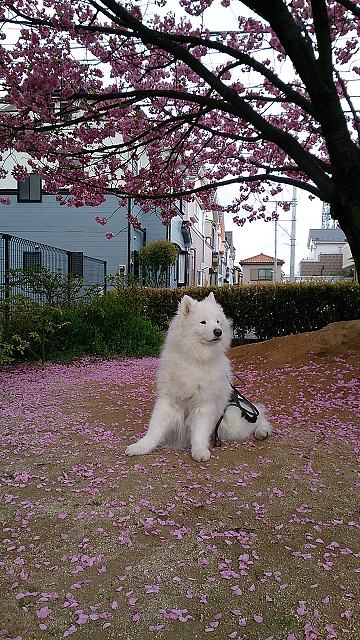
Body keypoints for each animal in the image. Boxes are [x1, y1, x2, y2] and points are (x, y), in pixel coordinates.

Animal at [125, 292, 272, 462]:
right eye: (203, 322)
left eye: (217, 321)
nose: (218, 331)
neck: (196, 358)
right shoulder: (169, 400)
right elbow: (154, 428)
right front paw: (141, 446)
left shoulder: (204, 403)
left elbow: (200, 432)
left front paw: (199, 450)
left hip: (232, 422)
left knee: (259, 418)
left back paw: (262, 431)